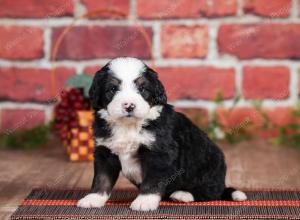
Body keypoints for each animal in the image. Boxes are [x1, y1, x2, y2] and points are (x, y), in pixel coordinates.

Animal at [77, 57, 246, 211]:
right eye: (112, 89)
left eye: (142, 89)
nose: (129, 106)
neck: (128, 126)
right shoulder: (104, 151)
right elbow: (102, 178)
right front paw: (93, 199)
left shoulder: (159, 153)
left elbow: (152, 180)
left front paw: (144, 202)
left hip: (210, 166)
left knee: (209, 192)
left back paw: (183, 194)